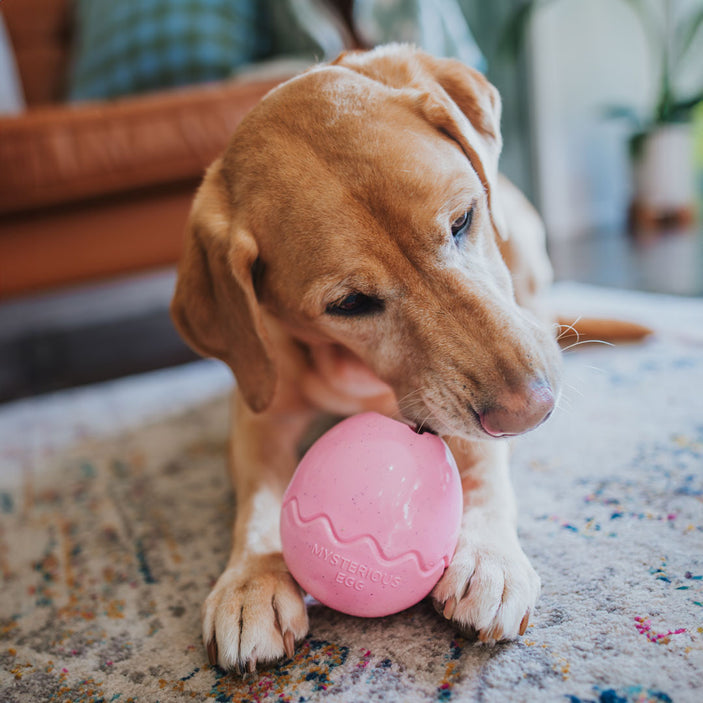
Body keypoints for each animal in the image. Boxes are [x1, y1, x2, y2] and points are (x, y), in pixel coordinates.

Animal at [173, 46, 564, 672]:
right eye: (350, 304)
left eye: (463, 220)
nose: (533, 410)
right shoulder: (258, 416)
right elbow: (259, 501)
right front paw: (252, 581)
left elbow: (483, 463)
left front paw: (489, 555)